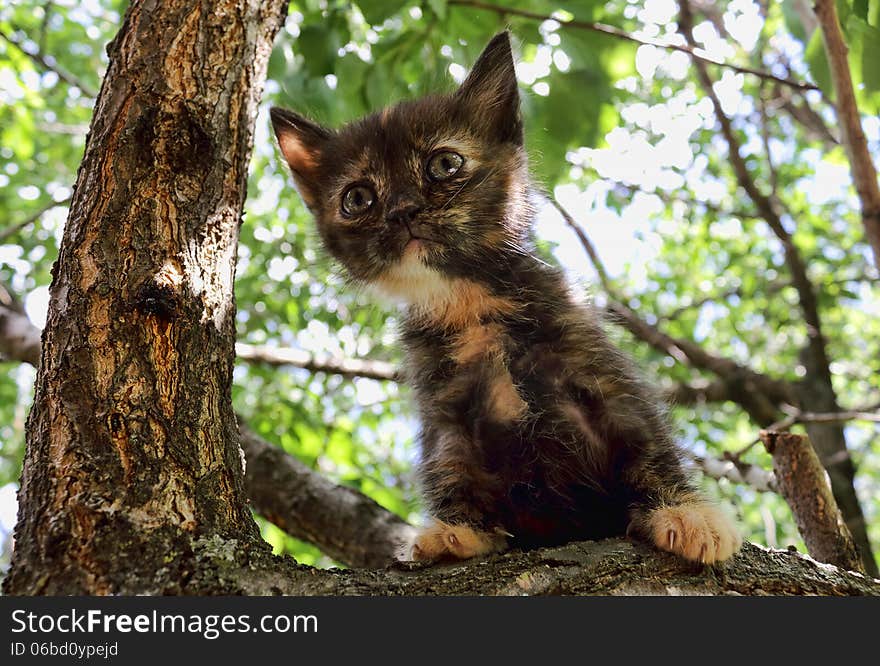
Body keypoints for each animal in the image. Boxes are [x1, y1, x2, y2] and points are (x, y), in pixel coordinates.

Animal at [270, 29, 744, 560]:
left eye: (444, 164)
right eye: (357, 198)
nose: (402, 211)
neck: (469, 302)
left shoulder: (603, 375)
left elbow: (647, 441)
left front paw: (685, 513)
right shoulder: (444, 409)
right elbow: (449, 465)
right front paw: (459, 529)